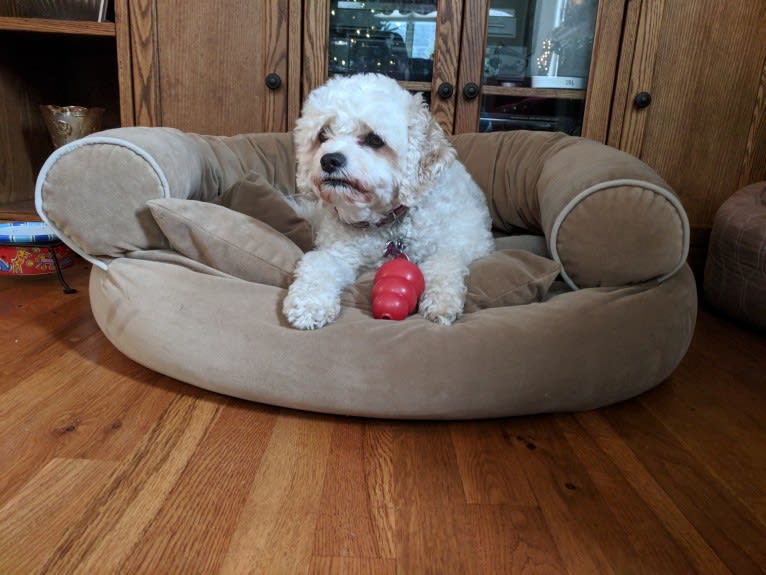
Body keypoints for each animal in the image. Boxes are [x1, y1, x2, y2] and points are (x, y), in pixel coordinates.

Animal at [284, 74, 496, 330]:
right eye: (323, 135)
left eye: (375, 139)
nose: (329, 160)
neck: (385, 224)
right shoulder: (339, 254)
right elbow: (317, 264)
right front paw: (308, 304)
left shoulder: (466, 241)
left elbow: (444, 262)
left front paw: (441, 302)